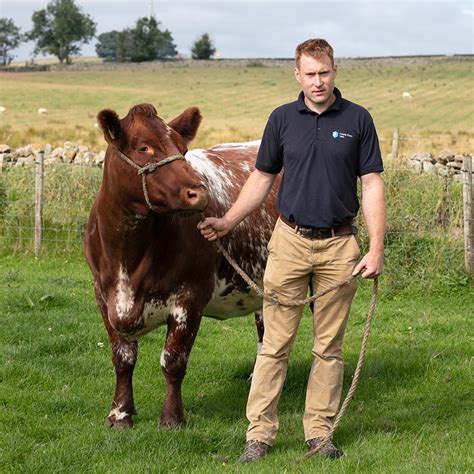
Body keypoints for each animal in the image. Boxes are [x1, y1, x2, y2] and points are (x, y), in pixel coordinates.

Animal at [84, 104, 280, 430]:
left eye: (183, 148)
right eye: (143, 147)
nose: (198, 192)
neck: (128, 255)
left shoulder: (189, 297)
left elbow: (173, 361)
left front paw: (172, 418)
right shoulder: (103, 296)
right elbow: (122, 359)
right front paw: (120, 414)